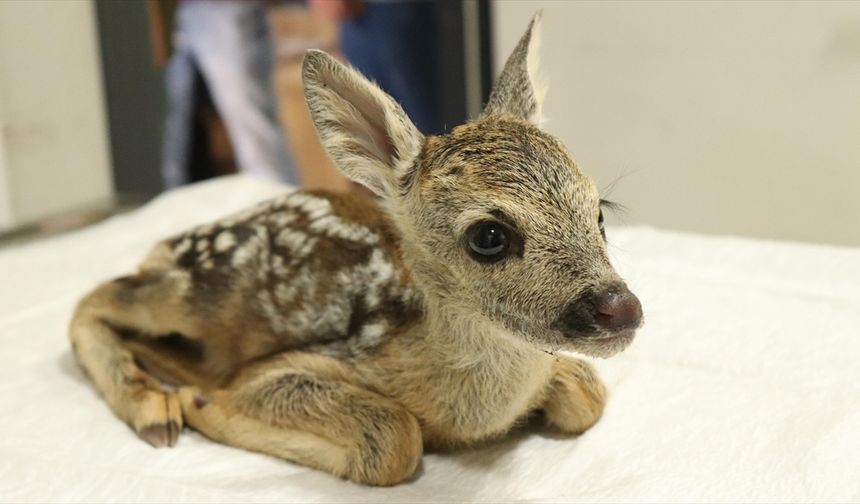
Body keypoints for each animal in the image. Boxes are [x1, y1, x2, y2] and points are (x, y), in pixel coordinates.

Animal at [70, 13, 640, 486]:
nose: (621, 308)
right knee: (93, 299)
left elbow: (589, 393)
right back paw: (154, 408)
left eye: (599, 212)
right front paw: (198, 401)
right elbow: (395, 438)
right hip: (199, 295)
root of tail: (166, 245)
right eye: (488, 237)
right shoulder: (283, 367)